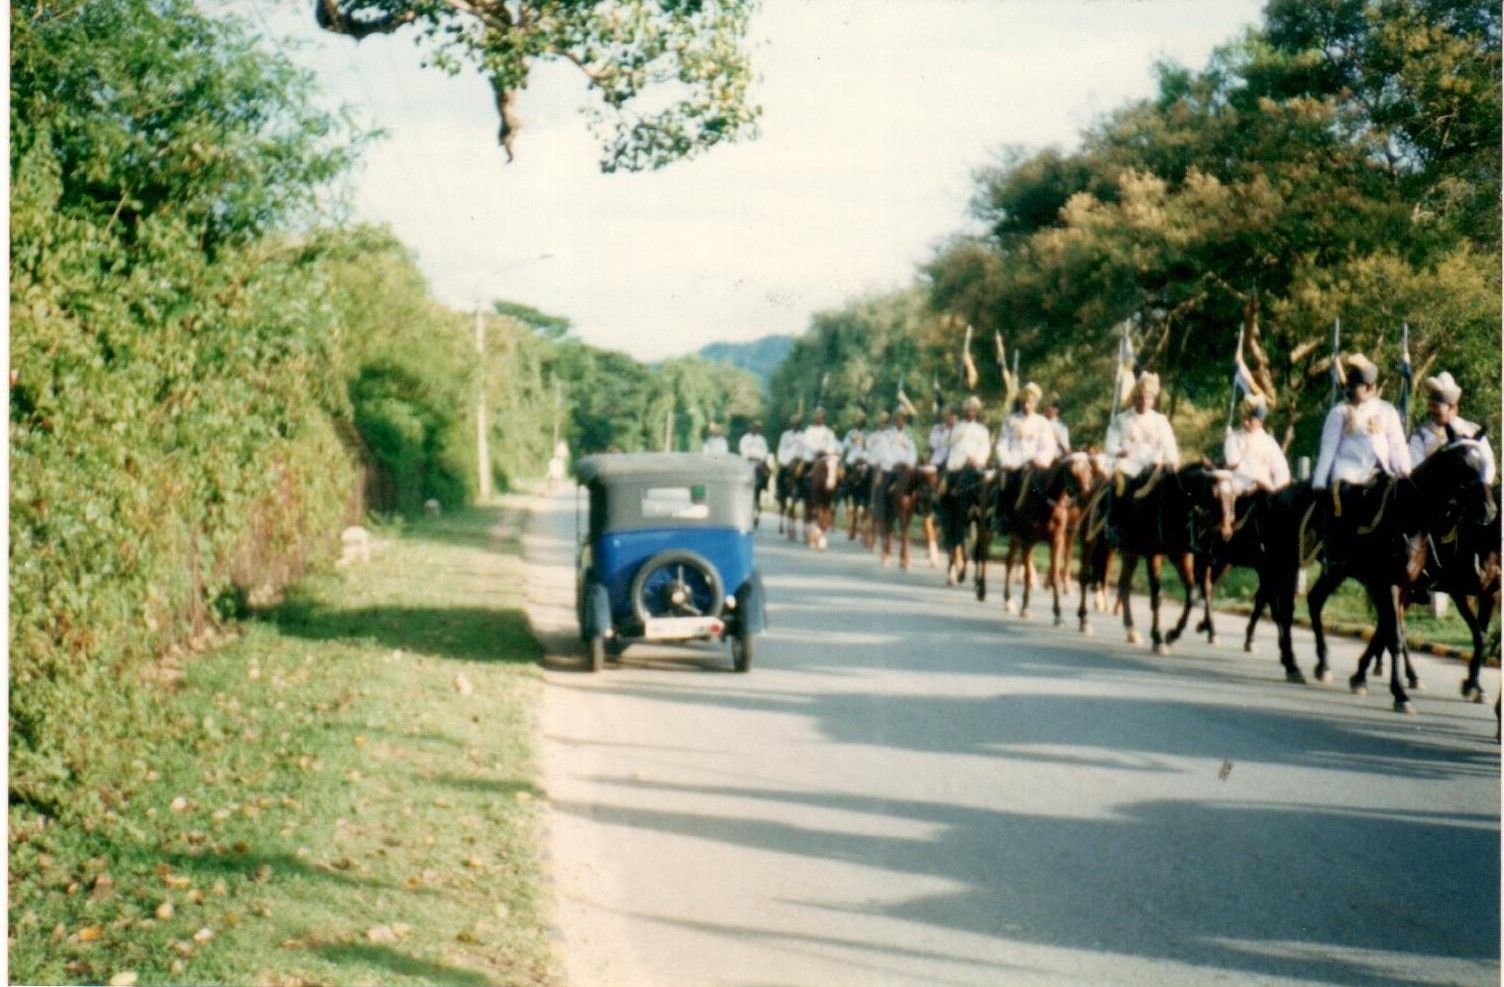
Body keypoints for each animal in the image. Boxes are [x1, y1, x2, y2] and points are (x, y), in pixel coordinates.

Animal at [1082, 463, 1233, 652]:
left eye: (1232, 496)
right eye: (1214, 495)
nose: (1225, 533)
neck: (1175, 500)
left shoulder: (1181, 555)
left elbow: (1192, 593)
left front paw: (1173, 634)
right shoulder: (1153, 555)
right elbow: (1156, 596)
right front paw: (1158, 638)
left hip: (1130, 553)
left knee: (1124, 585)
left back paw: (1131, 630)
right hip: (1090, 541)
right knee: (1085, 577)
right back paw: (1084, 620)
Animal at [1305, 436, 1491, 710]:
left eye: (1484, 464)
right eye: (1465, 466)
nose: (1488, 510)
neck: (1410, 519)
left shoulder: (1405, 587)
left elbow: (1477, 634)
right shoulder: (1392, 584)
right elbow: (1393, 635)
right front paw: (1399, 693)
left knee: (1317, 600)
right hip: (1337, 570)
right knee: (1315, 601)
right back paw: (1324, 665)